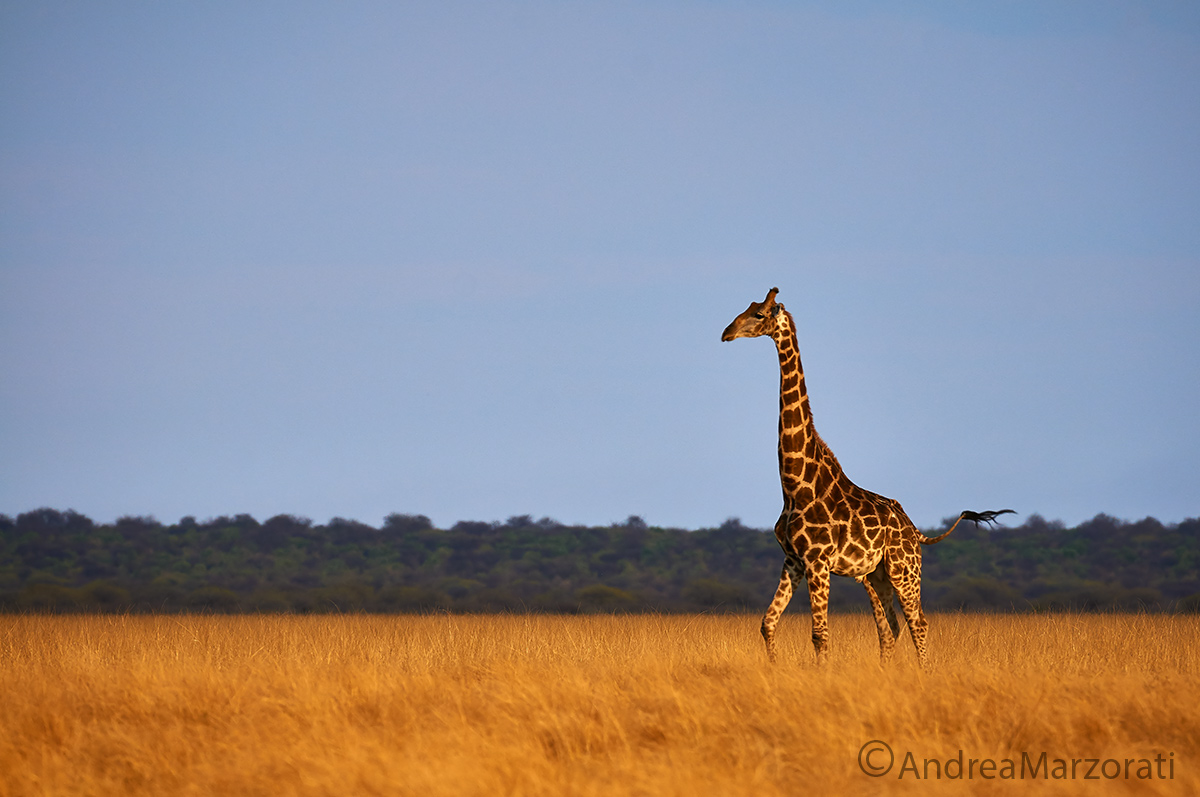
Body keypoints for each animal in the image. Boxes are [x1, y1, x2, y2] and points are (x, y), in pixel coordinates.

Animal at [722, 287, 1012, 667]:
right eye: (747, 308)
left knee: (918, 623)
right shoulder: (793, 560)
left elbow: (820, 635)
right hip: (876, 575)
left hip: (905, 569)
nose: (726, 332)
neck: (795, 485)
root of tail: (914, 530)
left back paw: (924, 673)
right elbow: (768, 623)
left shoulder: (817, 561)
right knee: (891, 629)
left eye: (760, 314)